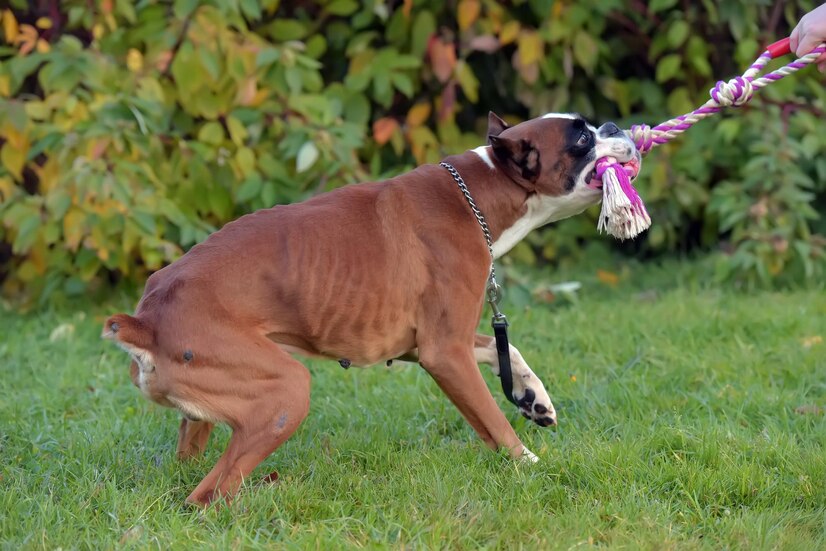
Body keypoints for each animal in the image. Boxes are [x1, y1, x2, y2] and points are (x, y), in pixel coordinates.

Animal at [104, 111, 636, 504]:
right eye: (582, 137)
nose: (616, 126)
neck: (478, 195)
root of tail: (145, 319)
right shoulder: (445, 354)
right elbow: (494, 422)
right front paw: (531, 466)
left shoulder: (427, 344)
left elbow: (501, 348)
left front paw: (532, 396)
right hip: (287, 393)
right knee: (208, 496)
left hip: (210, 414)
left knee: (196, 469)